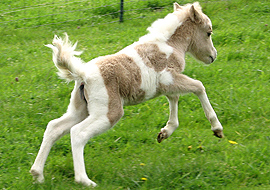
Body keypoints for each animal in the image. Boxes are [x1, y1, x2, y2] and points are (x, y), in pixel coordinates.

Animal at [30, 2, 224, 187]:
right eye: (208, 32)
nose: (213, 56)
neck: (169, 45)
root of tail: (83, 74)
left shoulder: (167, 85)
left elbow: (174, 99)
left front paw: (165, 132)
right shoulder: (169, 79)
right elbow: (199, 87)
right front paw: (217, 129)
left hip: (80, 109)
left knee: (54, 127)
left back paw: (37, 174)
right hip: (109, 112)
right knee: (78, 133)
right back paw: (84, 180)